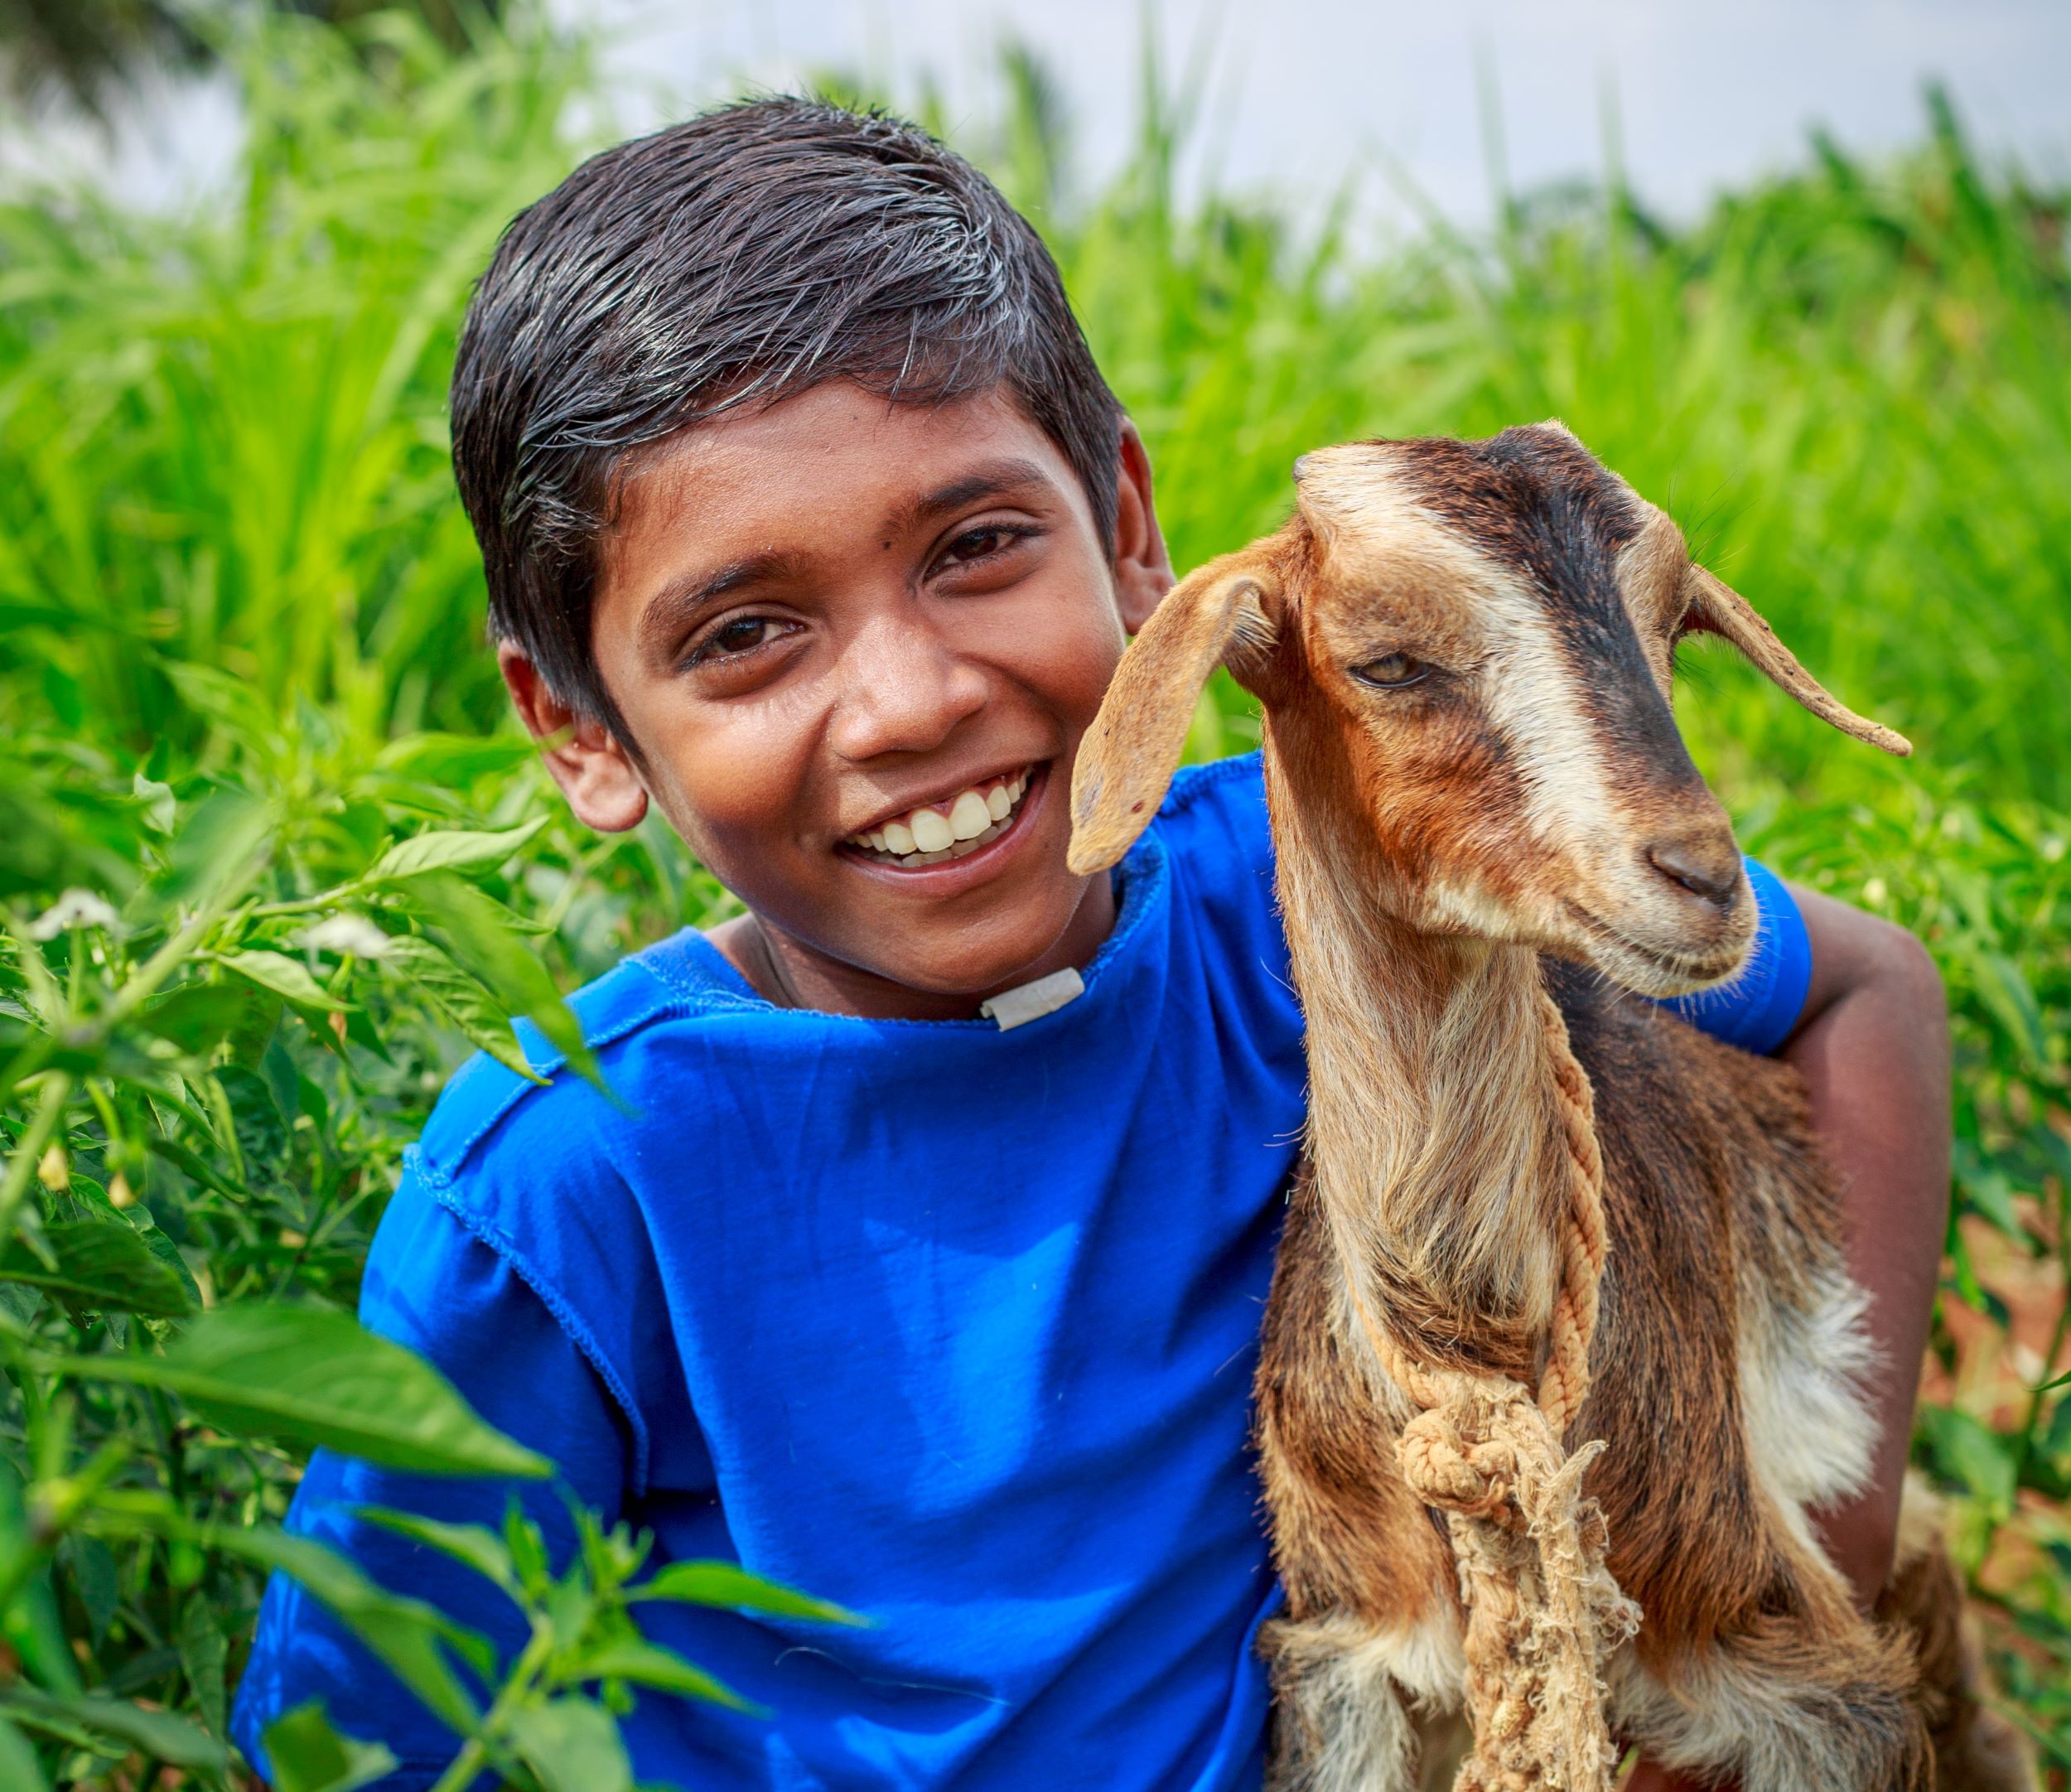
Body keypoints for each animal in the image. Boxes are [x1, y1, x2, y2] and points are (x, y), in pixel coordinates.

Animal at [1067, 424, 2033, 1792]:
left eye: (1671, 627)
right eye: (1390, 660)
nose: (1703, 875)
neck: (1480, 1348)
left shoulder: (1819, 1684)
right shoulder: (1341, 1656)